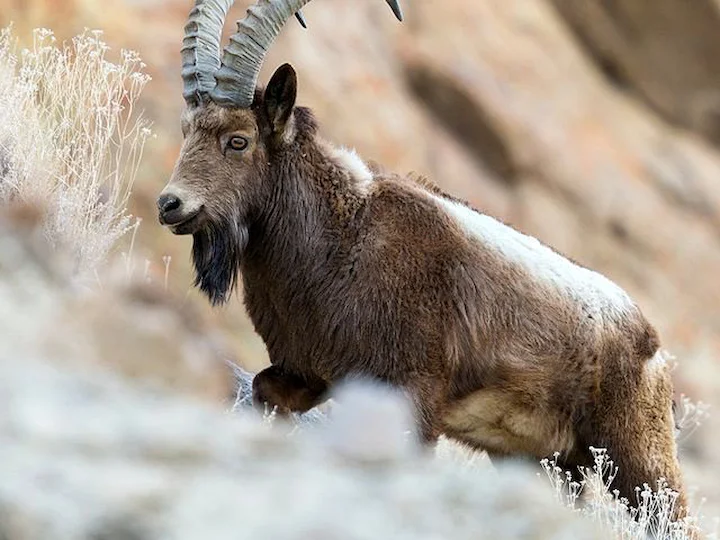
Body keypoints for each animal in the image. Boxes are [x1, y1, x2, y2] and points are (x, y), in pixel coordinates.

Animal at [158, 0, 688, 517]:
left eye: (238, 140)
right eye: (187, 130)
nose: (170, 204)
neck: (339, 238)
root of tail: (651, 341)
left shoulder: (414, 394)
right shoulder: (307, 375)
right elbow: (266, 390)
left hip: (637, 456)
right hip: (545, 461)